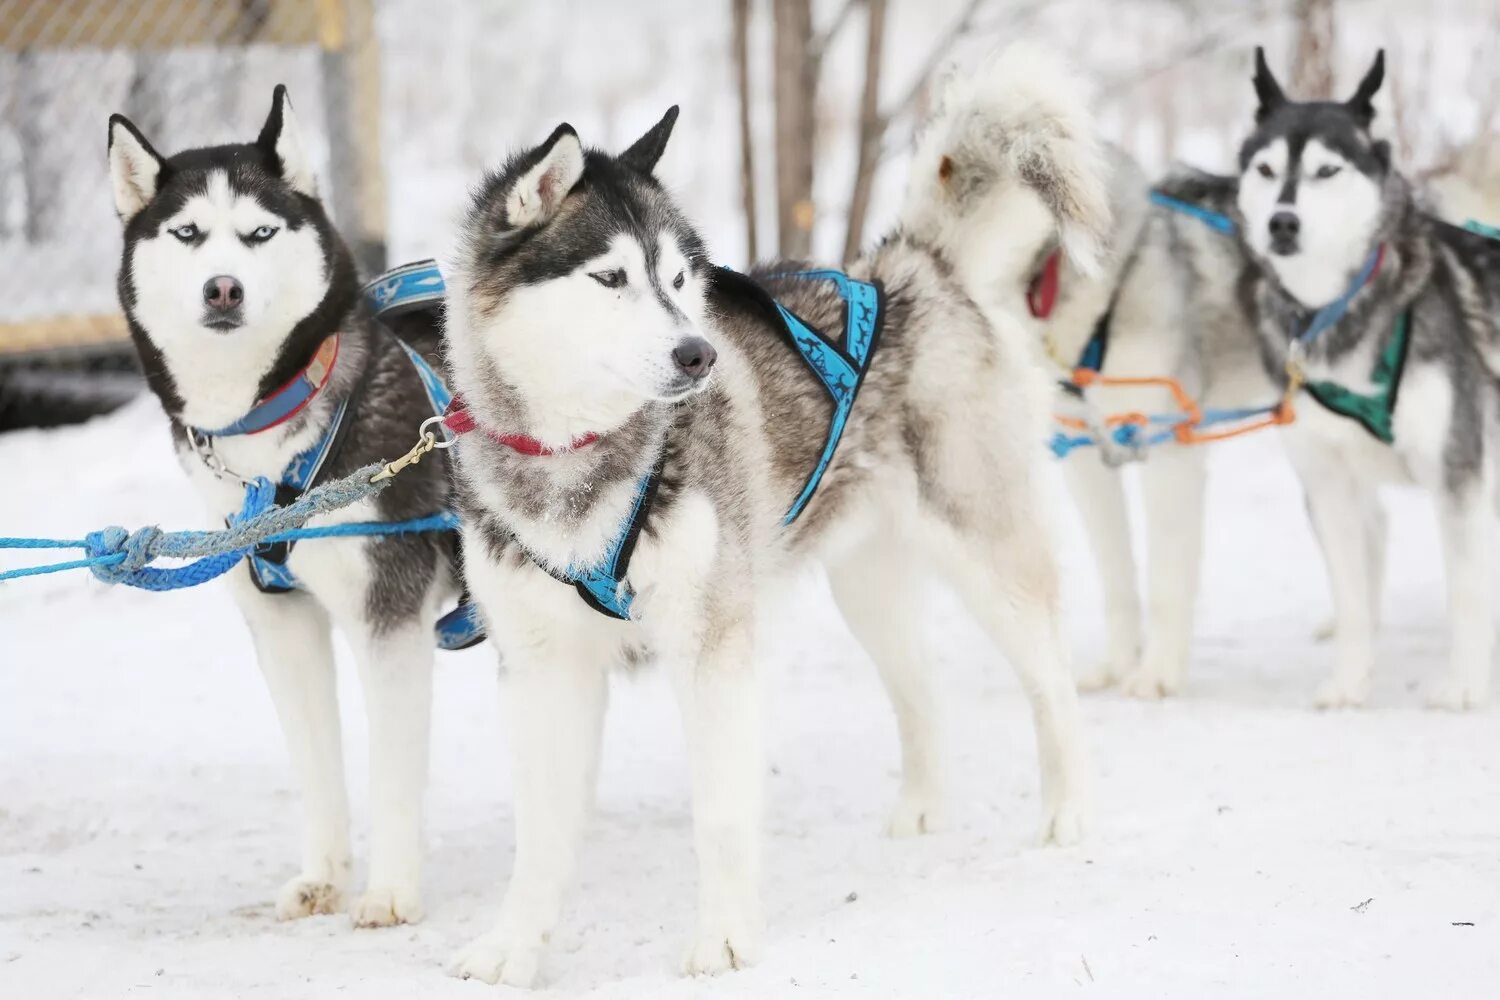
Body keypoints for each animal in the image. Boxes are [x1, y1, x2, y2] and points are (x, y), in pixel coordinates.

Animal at [110, 89, 453, 929]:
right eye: (188, 233)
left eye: (259, 233)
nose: (222, 288)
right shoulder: (282, 627)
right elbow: (318, 764)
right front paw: (325, 875)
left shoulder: (391, 622)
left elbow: (391, 771)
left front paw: (390, 890)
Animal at [441, 48, 1104, 983]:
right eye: (610, 278)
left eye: (679, 281)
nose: (699, 355)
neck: (581, 454)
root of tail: (913, 264)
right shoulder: (540, 669)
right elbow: (539, 837)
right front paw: (514, 946)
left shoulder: (712, 646)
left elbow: (718, 815)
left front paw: (723, 937)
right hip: (868, 590)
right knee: (921, 689)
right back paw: (923, 808)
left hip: (988, 554)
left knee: (1050, 680)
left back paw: (1069, 809)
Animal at [1032, 158, 1278, 704]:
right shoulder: (1085, 457)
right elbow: (1117, 576)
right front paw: (1116, 665)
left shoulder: (1171, 453)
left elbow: (1165, 580)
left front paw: (1157, 674)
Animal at [1236, 44, 1494, 704]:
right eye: (1267, 170)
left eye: (1327, 171)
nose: (1282, 222)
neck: (1341, 308)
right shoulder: (1330, 485)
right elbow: (1353, 598)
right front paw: (1350, 683)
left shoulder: (1458, 475)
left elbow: (1468, 590)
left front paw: (1464, 684)